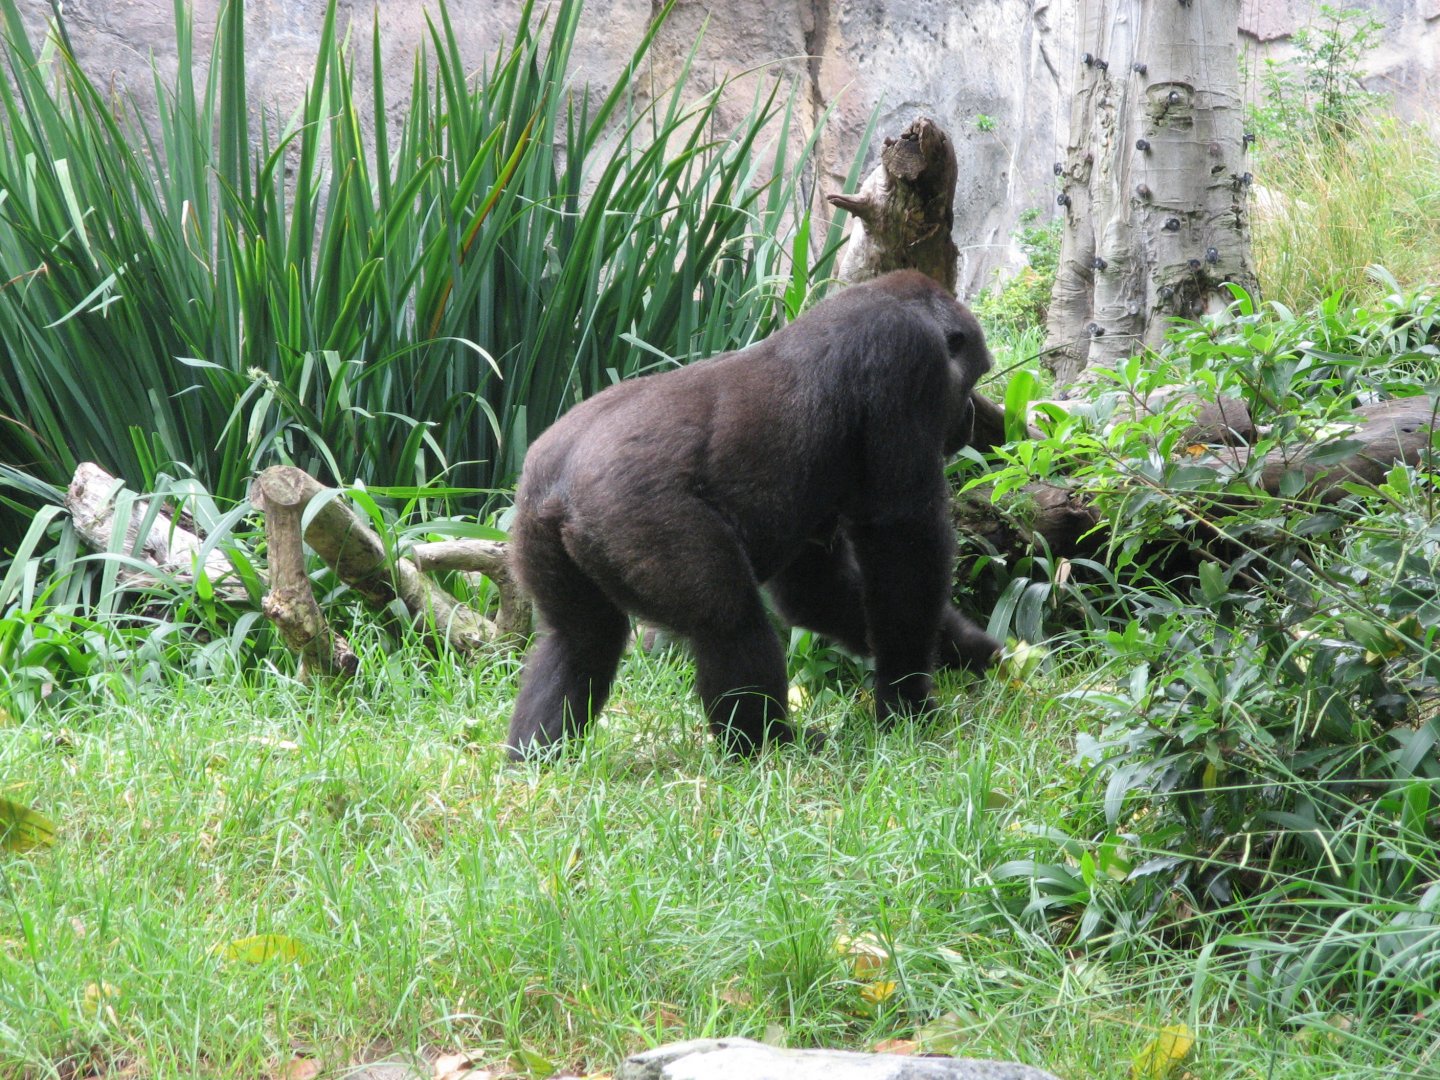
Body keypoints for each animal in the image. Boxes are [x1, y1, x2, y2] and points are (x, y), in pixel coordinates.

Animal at [504, 270, 1000, 760]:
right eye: (972, 380)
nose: (970, 417)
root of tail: (558, 484)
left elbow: (821, 592)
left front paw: (967, 651)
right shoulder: (908, 357)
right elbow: (902, 545)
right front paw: (908, 699)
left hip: (532, 524)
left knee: (581, 638)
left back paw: (535, 753)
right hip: (632, 511)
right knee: (728, 621)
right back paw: (766, 741)